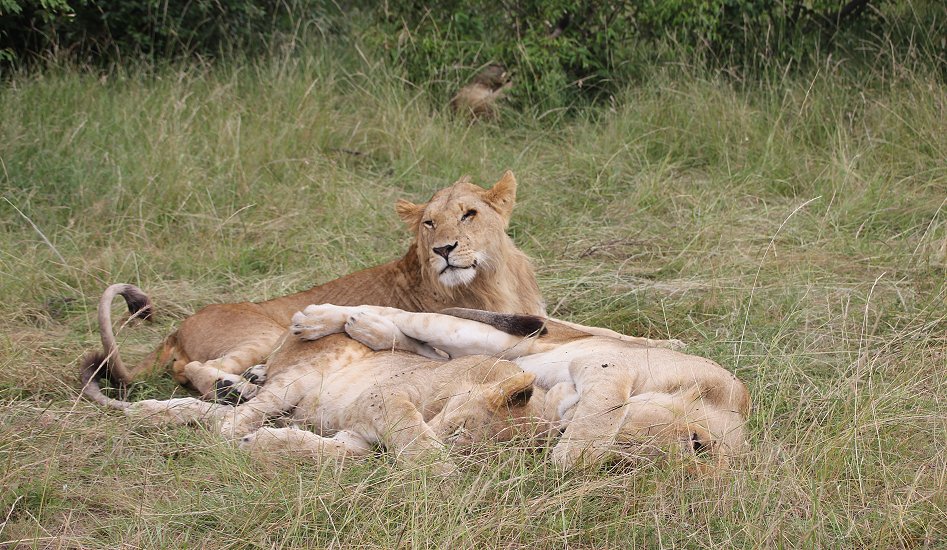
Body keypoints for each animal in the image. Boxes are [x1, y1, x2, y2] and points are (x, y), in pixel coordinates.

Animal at [292, 306, 752, 470]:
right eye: (621, 434)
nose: (562, 429)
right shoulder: (608, 364)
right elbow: (604, 403)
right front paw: (571, 455)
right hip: (491, 336)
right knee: (403, 315)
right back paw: (322, 319)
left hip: (483, 350)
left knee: (419, 346)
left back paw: (368, 331)